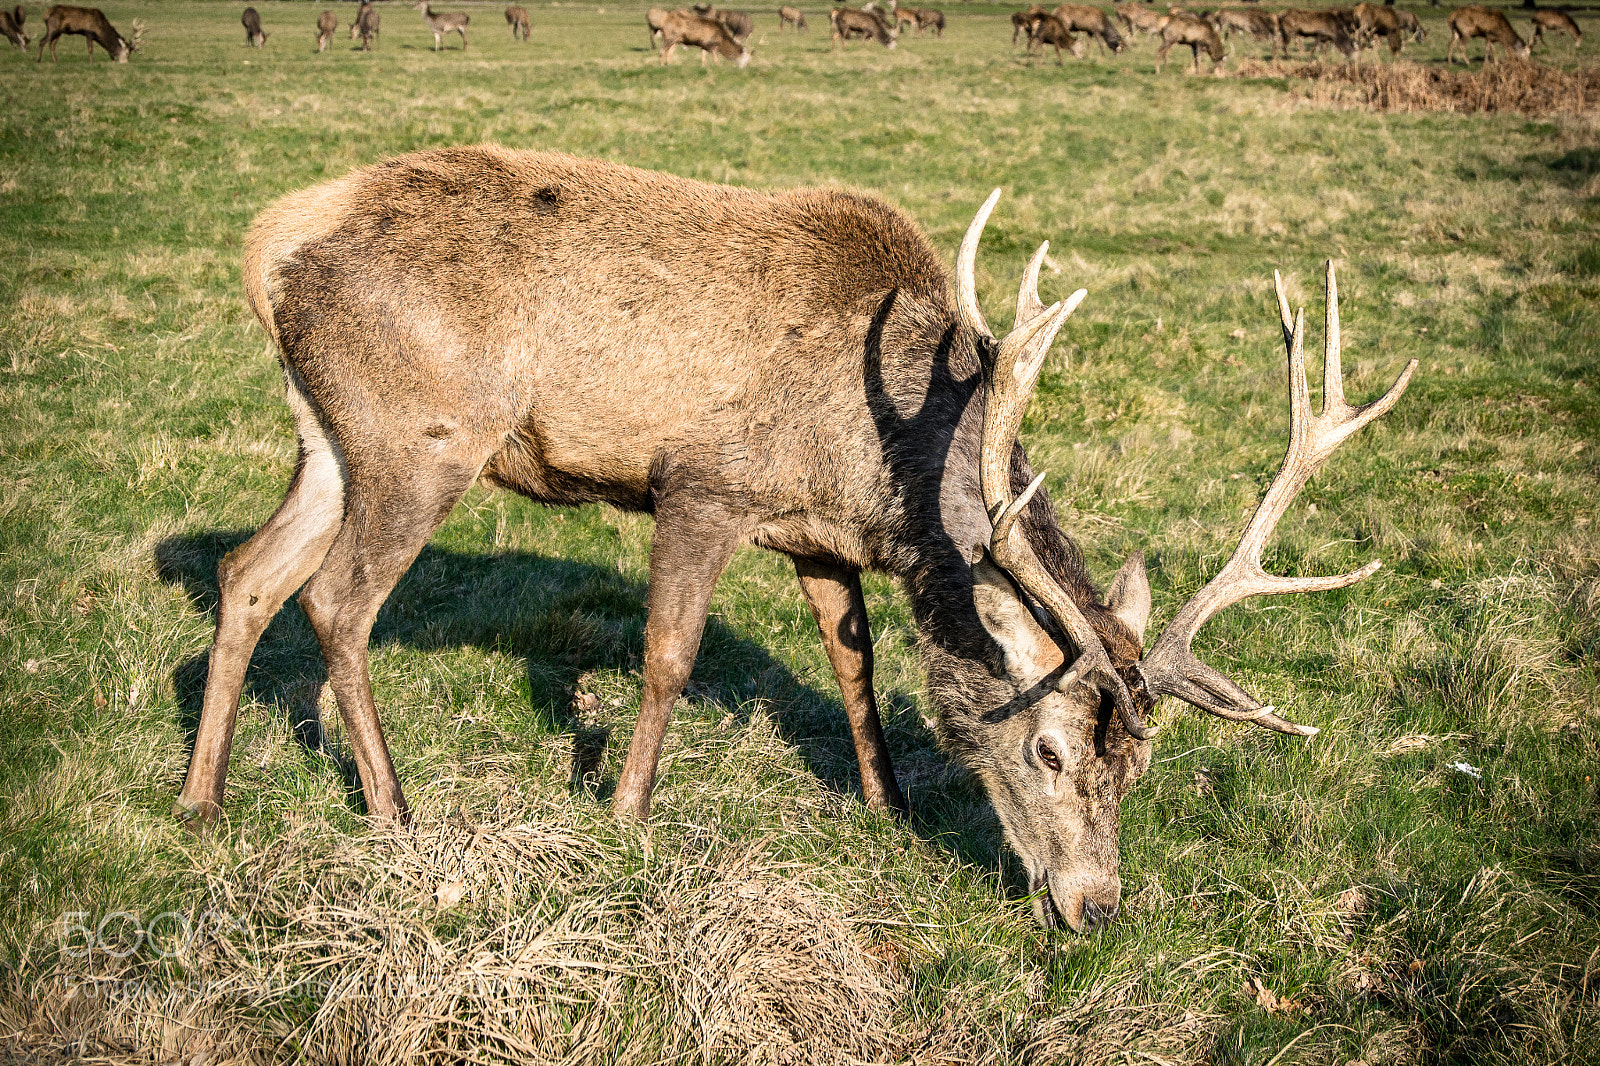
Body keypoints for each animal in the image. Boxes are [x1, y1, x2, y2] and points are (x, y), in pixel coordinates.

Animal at [174, 149, 1416, 932]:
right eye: (1051, 749)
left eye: (1143, 763)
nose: (1096, 906)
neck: (879, 463)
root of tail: (265, 244)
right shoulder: (700, 486)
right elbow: (668, 657)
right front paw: (625, 816)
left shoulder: (816, 537)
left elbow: (853, 658)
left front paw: (887, 802)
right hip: (422, 435)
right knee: (336, 600)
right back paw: (394, 812)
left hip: (327, 436)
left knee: (246, 574)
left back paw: (200, 798)